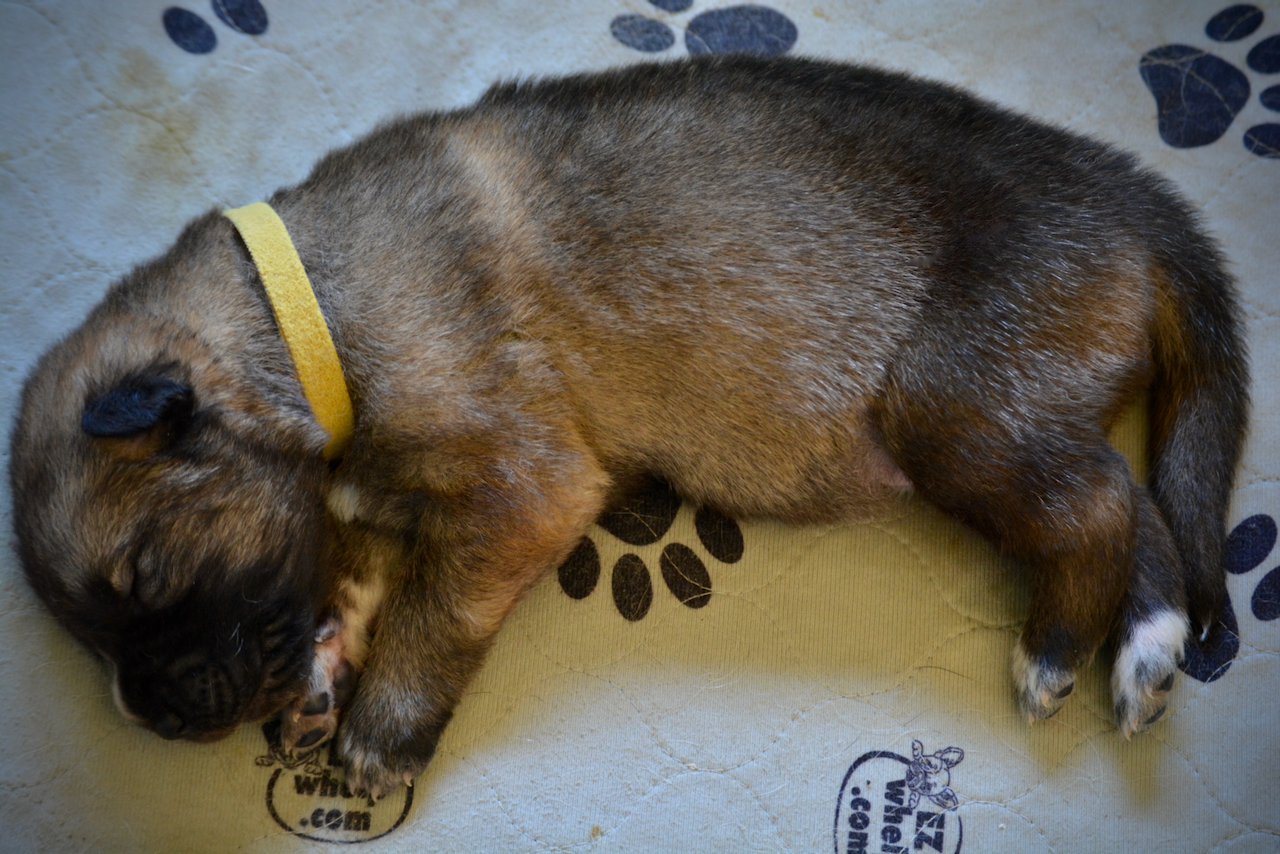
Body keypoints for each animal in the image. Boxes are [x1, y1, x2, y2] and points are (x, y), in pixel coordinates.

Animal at [7, 56, 1249, 798]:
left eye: (145, 572)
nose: (154, 717)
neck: (306, 310)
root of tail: (1136, 199)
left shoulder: (522, 485)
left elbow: (431, 605)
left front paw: (378, 726)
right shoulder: (362, 499)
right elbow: (353, 563)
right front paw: (321, 666)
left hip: (958, 403)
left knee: (1095, 505)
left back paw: (1053, 646)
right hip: (1028, 410)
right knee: (1134, 500)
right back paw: (1141, 653)